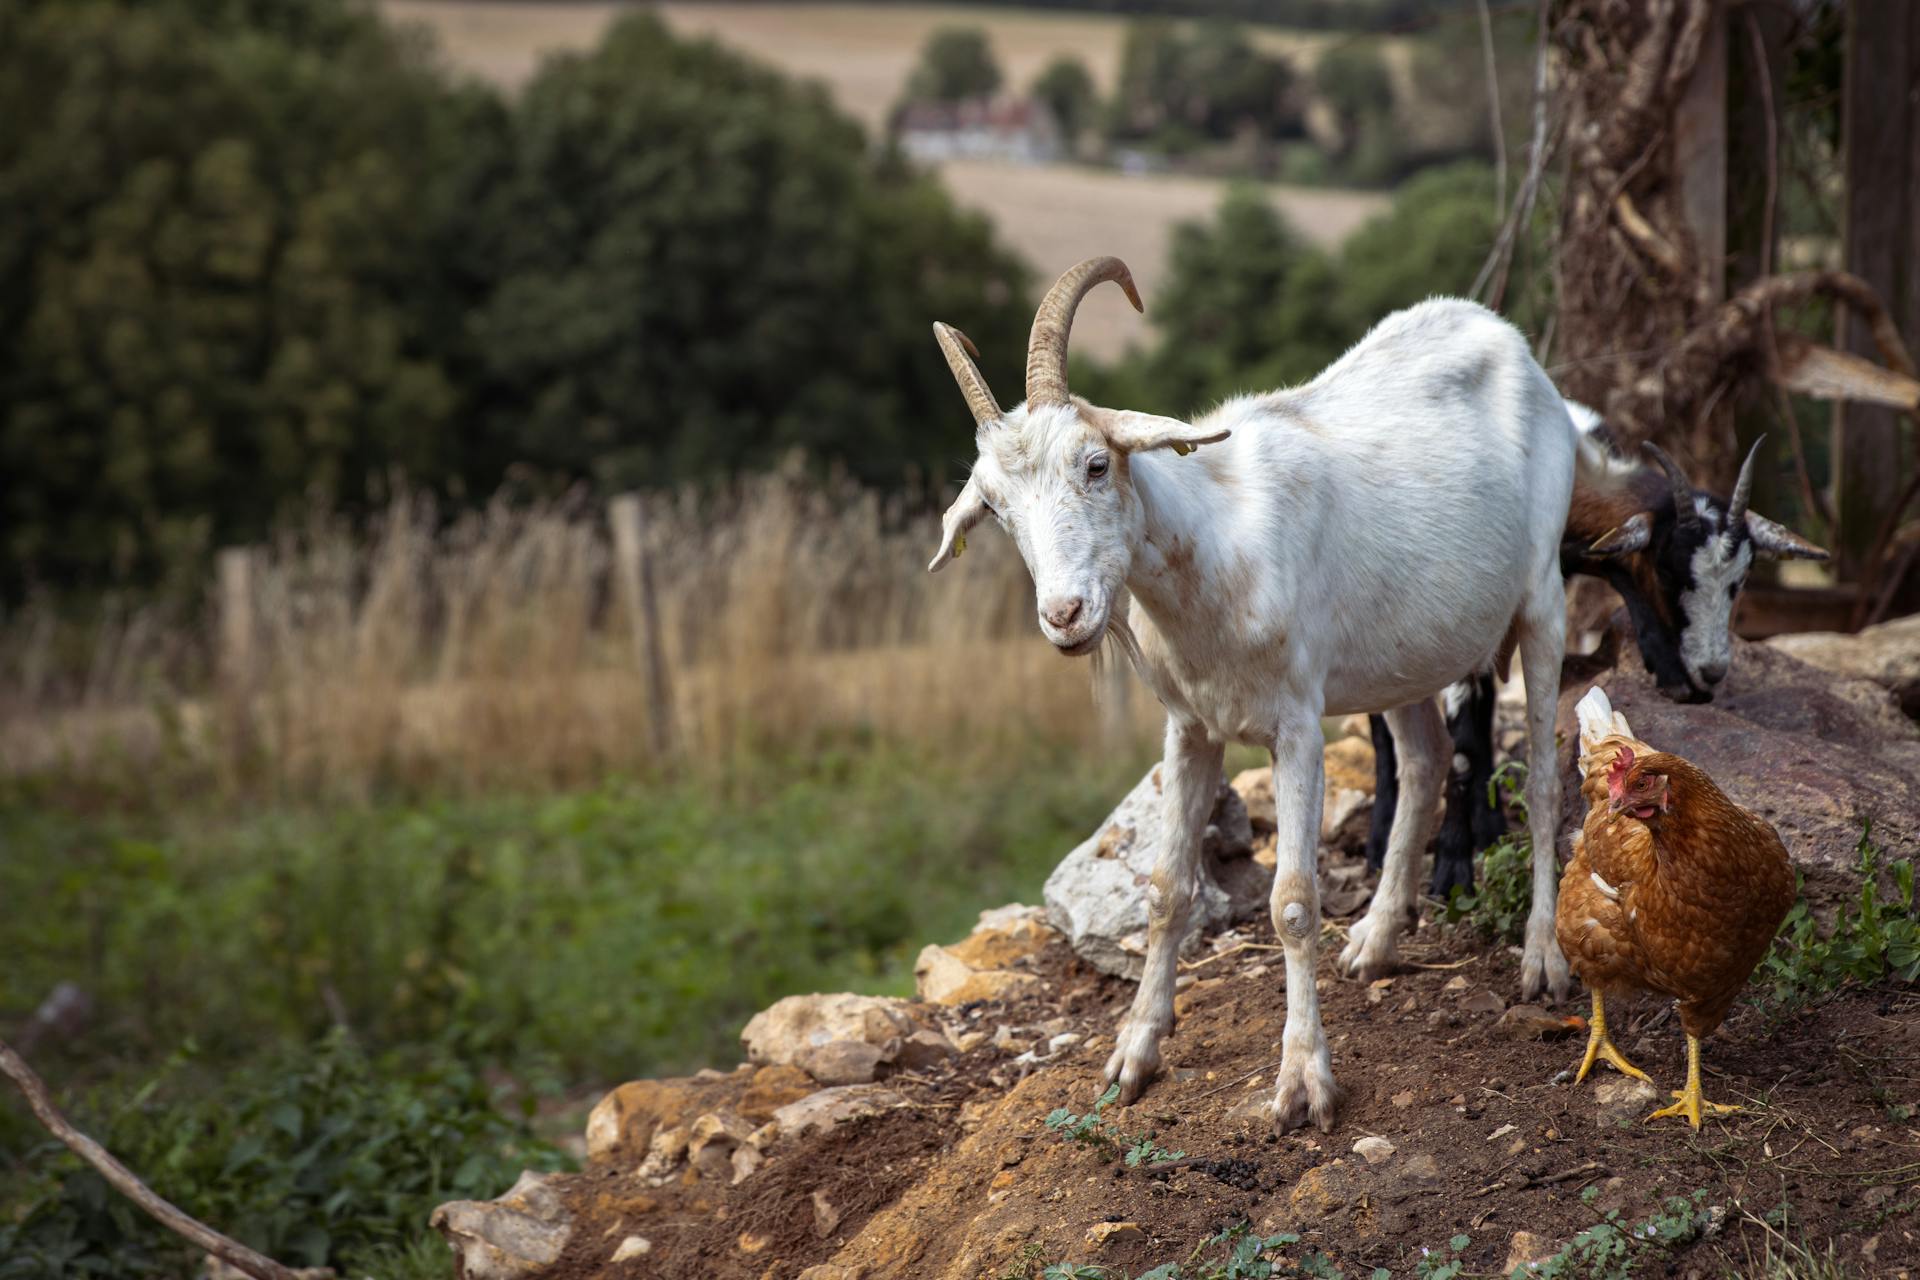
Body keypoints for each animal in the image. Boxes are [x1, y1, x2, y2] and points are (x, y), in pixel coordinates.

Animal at [925, 257, 1574, 1128]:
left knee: (1541, 780)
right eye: (994, 506)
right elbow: (1166, 890)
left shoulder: (1297, 727)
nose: (1065, 615)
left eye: (1096, 463)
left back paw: (1543, 958)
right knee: (1426, 758)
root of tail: (1500, 332)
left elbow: (1292, 902)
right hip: (1402, 652)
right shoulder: (1189, 728)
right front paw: (1134, 1053)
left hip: (1542, 594)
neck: (1216, 549)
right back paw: (1375, 941)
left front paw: (1303, 1082)